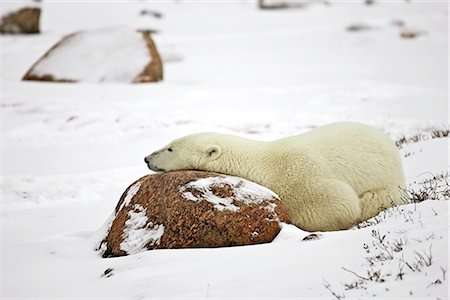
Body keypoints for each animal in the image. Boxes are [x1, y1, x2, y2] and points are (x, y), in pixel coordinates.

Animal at [145, 122, 408, 232]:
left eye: (170, 148)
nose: (147, 158)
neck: (262, 164)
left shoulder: (301, 174)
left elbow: (340, 202)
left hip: (388, 183)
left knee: (373, 199)